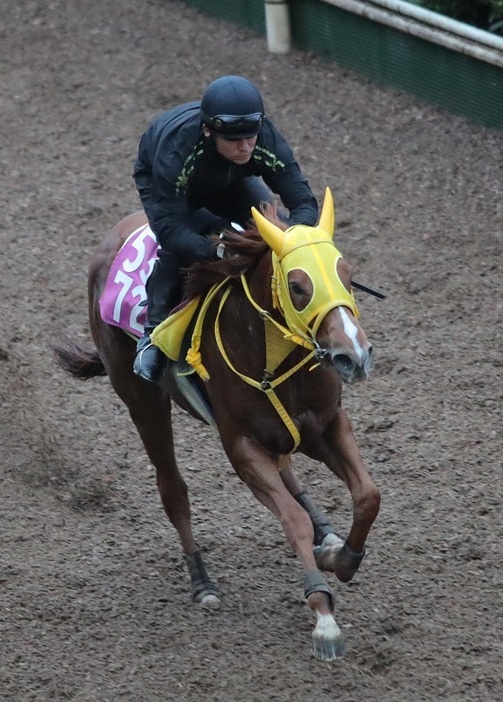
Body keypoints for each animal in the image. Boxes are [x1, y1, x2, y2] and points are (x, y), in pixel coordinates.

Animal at [52, 186, 382, 660]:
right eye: (298, 286)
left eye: (347, 273)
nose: (354, 355)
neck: (275, 356)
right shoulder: (242, 448)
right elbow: (291, 519)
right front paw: (324, 618)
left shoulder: (326, 425)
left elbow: (367, 495)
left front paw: (343, 558)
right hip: (143, 402)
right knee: (172, 489)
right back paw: (202, 580)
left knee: (290, 472)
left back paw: (328, 534)